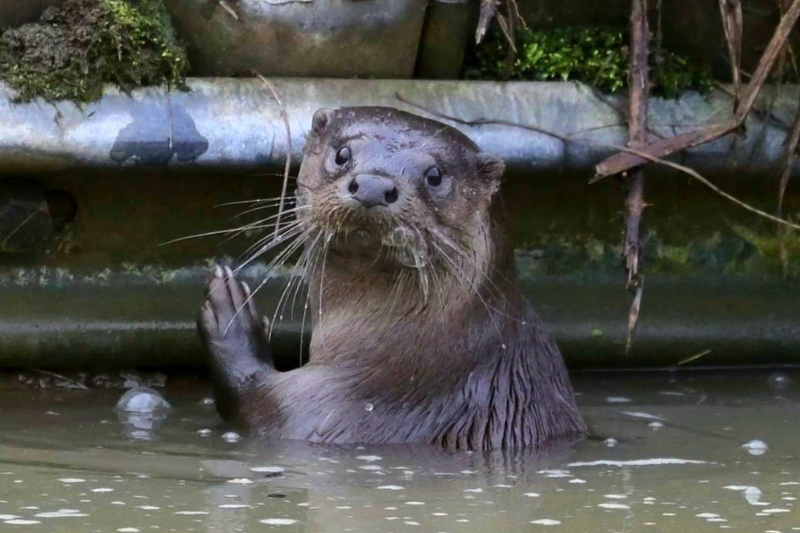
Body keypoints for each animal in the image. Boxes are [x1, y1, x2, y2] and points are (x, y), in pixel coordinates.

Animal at [198, 106, 588, 446]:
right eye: (342, 154)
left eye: (435, 175)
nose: (373, 185)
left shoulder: (325, 410)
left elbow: (250, 403)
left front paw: (231, 311)